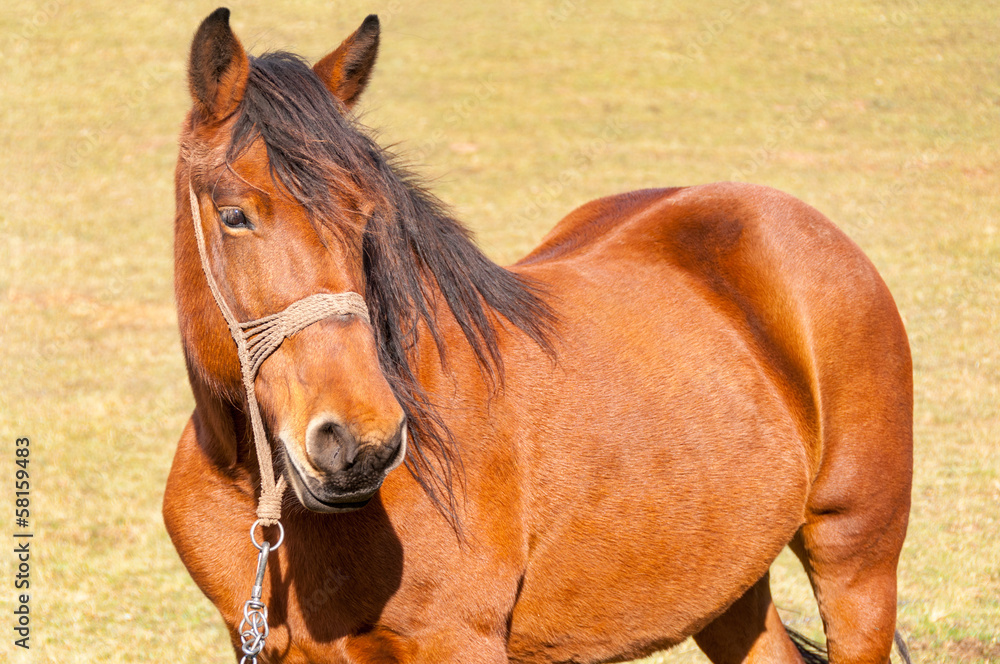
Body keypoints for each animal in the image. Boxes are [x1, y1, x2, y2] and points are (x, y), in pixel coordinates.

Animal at [163, 8, 913, 664]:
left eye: (368, 216)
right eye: (234, 215)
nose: (359, 442)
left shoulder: (458, 643)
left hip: (857, 562)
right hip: (729, 580)